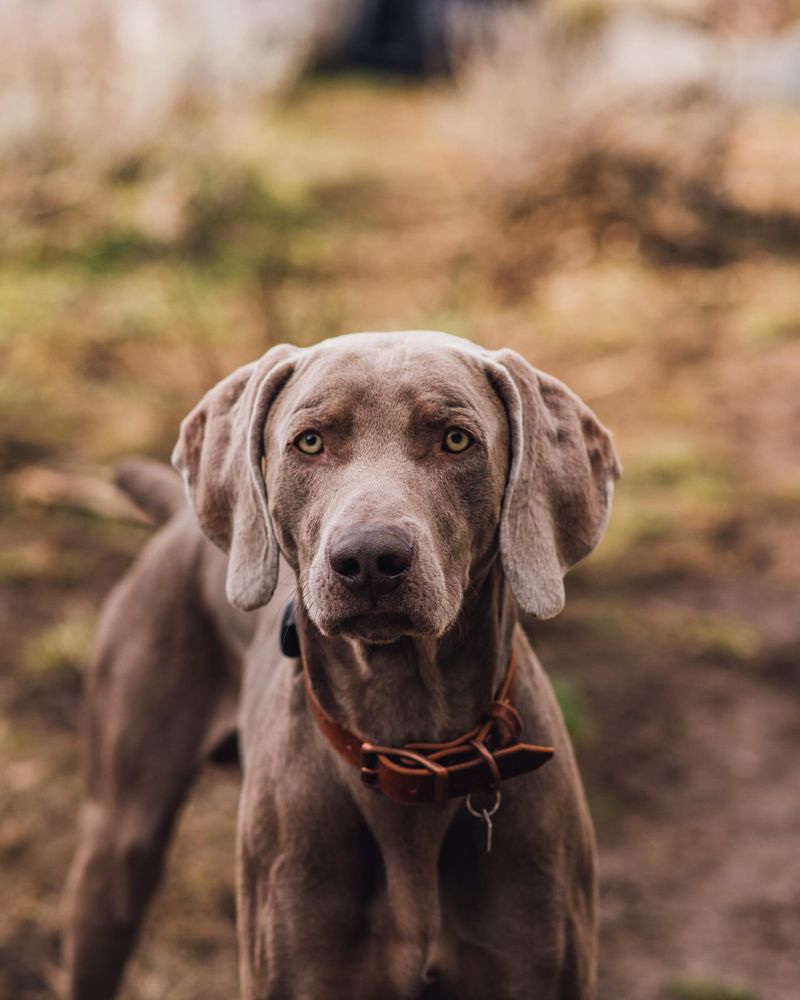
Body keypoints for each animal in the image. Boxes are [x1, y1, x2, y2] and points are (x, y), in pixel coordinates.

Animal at [65, 334, 620, 1000]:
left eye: (456, 439)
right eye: (309, 441)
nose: (370, 559)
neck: (407, 743)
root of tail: (178, 516)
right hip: (117, 847)